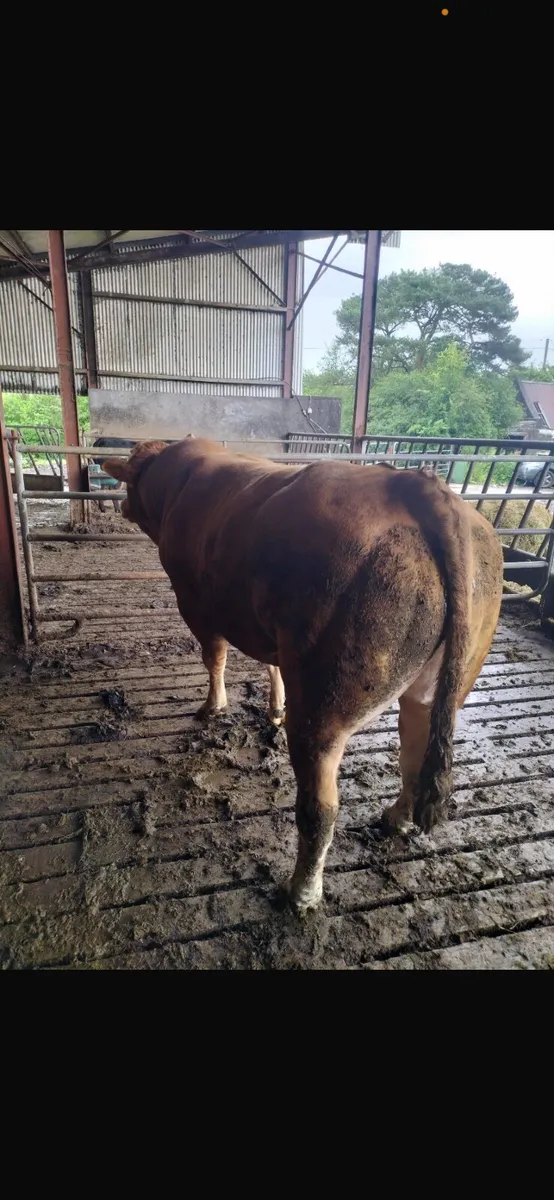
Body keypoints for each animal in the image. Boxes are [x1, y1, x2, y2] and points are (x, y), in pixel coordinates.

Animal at [105, 438, 504, 916]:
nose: (122, 504)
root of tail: (416, 484)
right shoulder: (268, 630)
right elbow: (271, 664)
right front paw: (273, 708)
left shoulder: (195, 602)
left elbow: (214, 657)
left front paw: (213, 706)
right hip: (439, 682)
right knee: (414, 752)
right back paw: (397, 819)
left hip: (323, 705)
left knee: (321, 808)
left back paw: (301, 892)